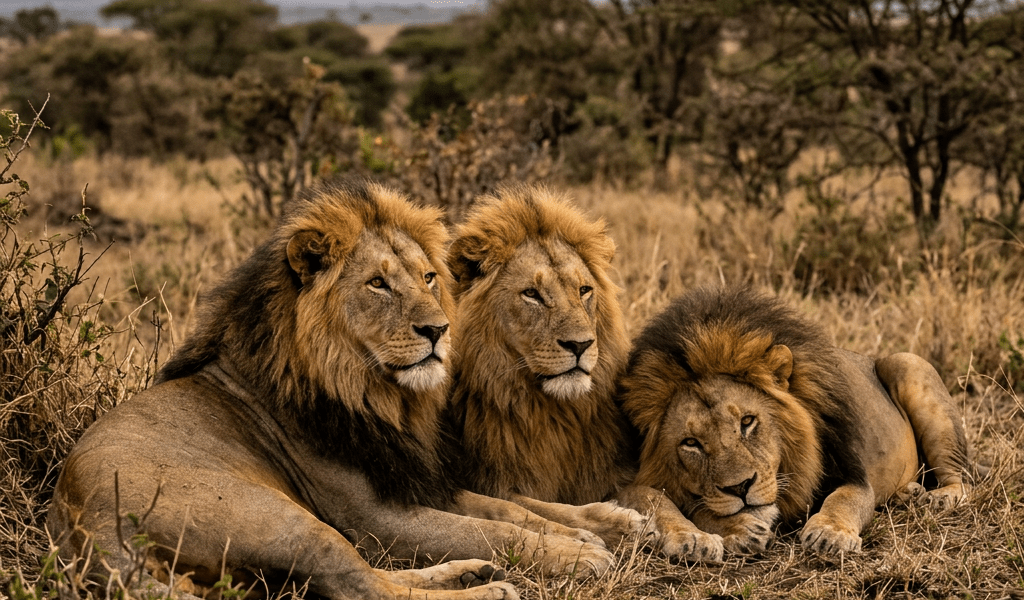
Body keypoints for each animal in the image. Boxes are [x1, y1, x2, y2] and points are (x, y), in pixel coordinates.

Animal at [47, 181, 615, 600]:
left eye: (429, 278)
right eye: (377, 284)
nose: (439, 331)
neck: (374, 394)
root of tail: (89, 525)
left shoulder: (412, 478)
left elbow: (507, 510)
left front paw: (588, 530)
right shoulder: (373, 516)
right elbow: (491, 528)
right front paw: (580, 553)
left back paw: (468, 573)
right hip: (282, 518)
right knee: (361, 585)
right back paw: (488, 589)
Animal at [445, 184, 725, 563]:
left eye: (584, 290)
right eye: (531, 294)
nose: (580, 345)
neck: (551, 412)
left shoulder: (605, 471)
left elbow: (655, 494)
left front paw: (693, 534)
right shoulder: (492, 481)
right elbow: (535, 506)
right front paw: (617, 525)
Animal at [619, 285, 970, 556]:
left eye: (747, 422)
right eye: (690, 443)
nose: (740, 487)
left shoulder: (851, 474)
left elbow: (843, 500)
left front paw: (830, 534)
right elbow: (676, 502)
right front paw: (728, 530)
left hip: (908, 365)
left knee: (962, 479)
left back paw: (939, 498)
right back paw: (907, 494)